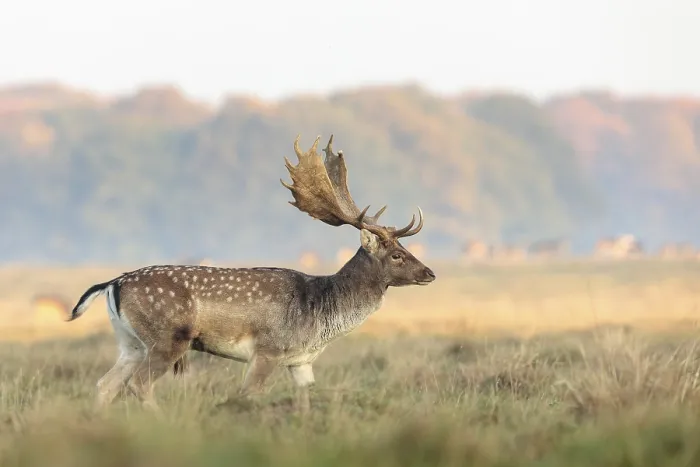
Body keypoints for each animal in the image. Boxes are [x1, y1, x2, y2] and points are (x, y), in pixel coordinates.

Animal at [67, 134, 436, 412]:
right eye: (397, 254)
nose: (430, 273)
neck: (321, 314)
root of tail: (112, 283)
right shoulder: (269, 349)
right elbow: (249, 395)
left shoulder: (301, 361)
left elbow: (305, 401)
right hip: (167, 338)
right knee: (139, 385)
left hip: (130, 343)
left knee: (105, 385)